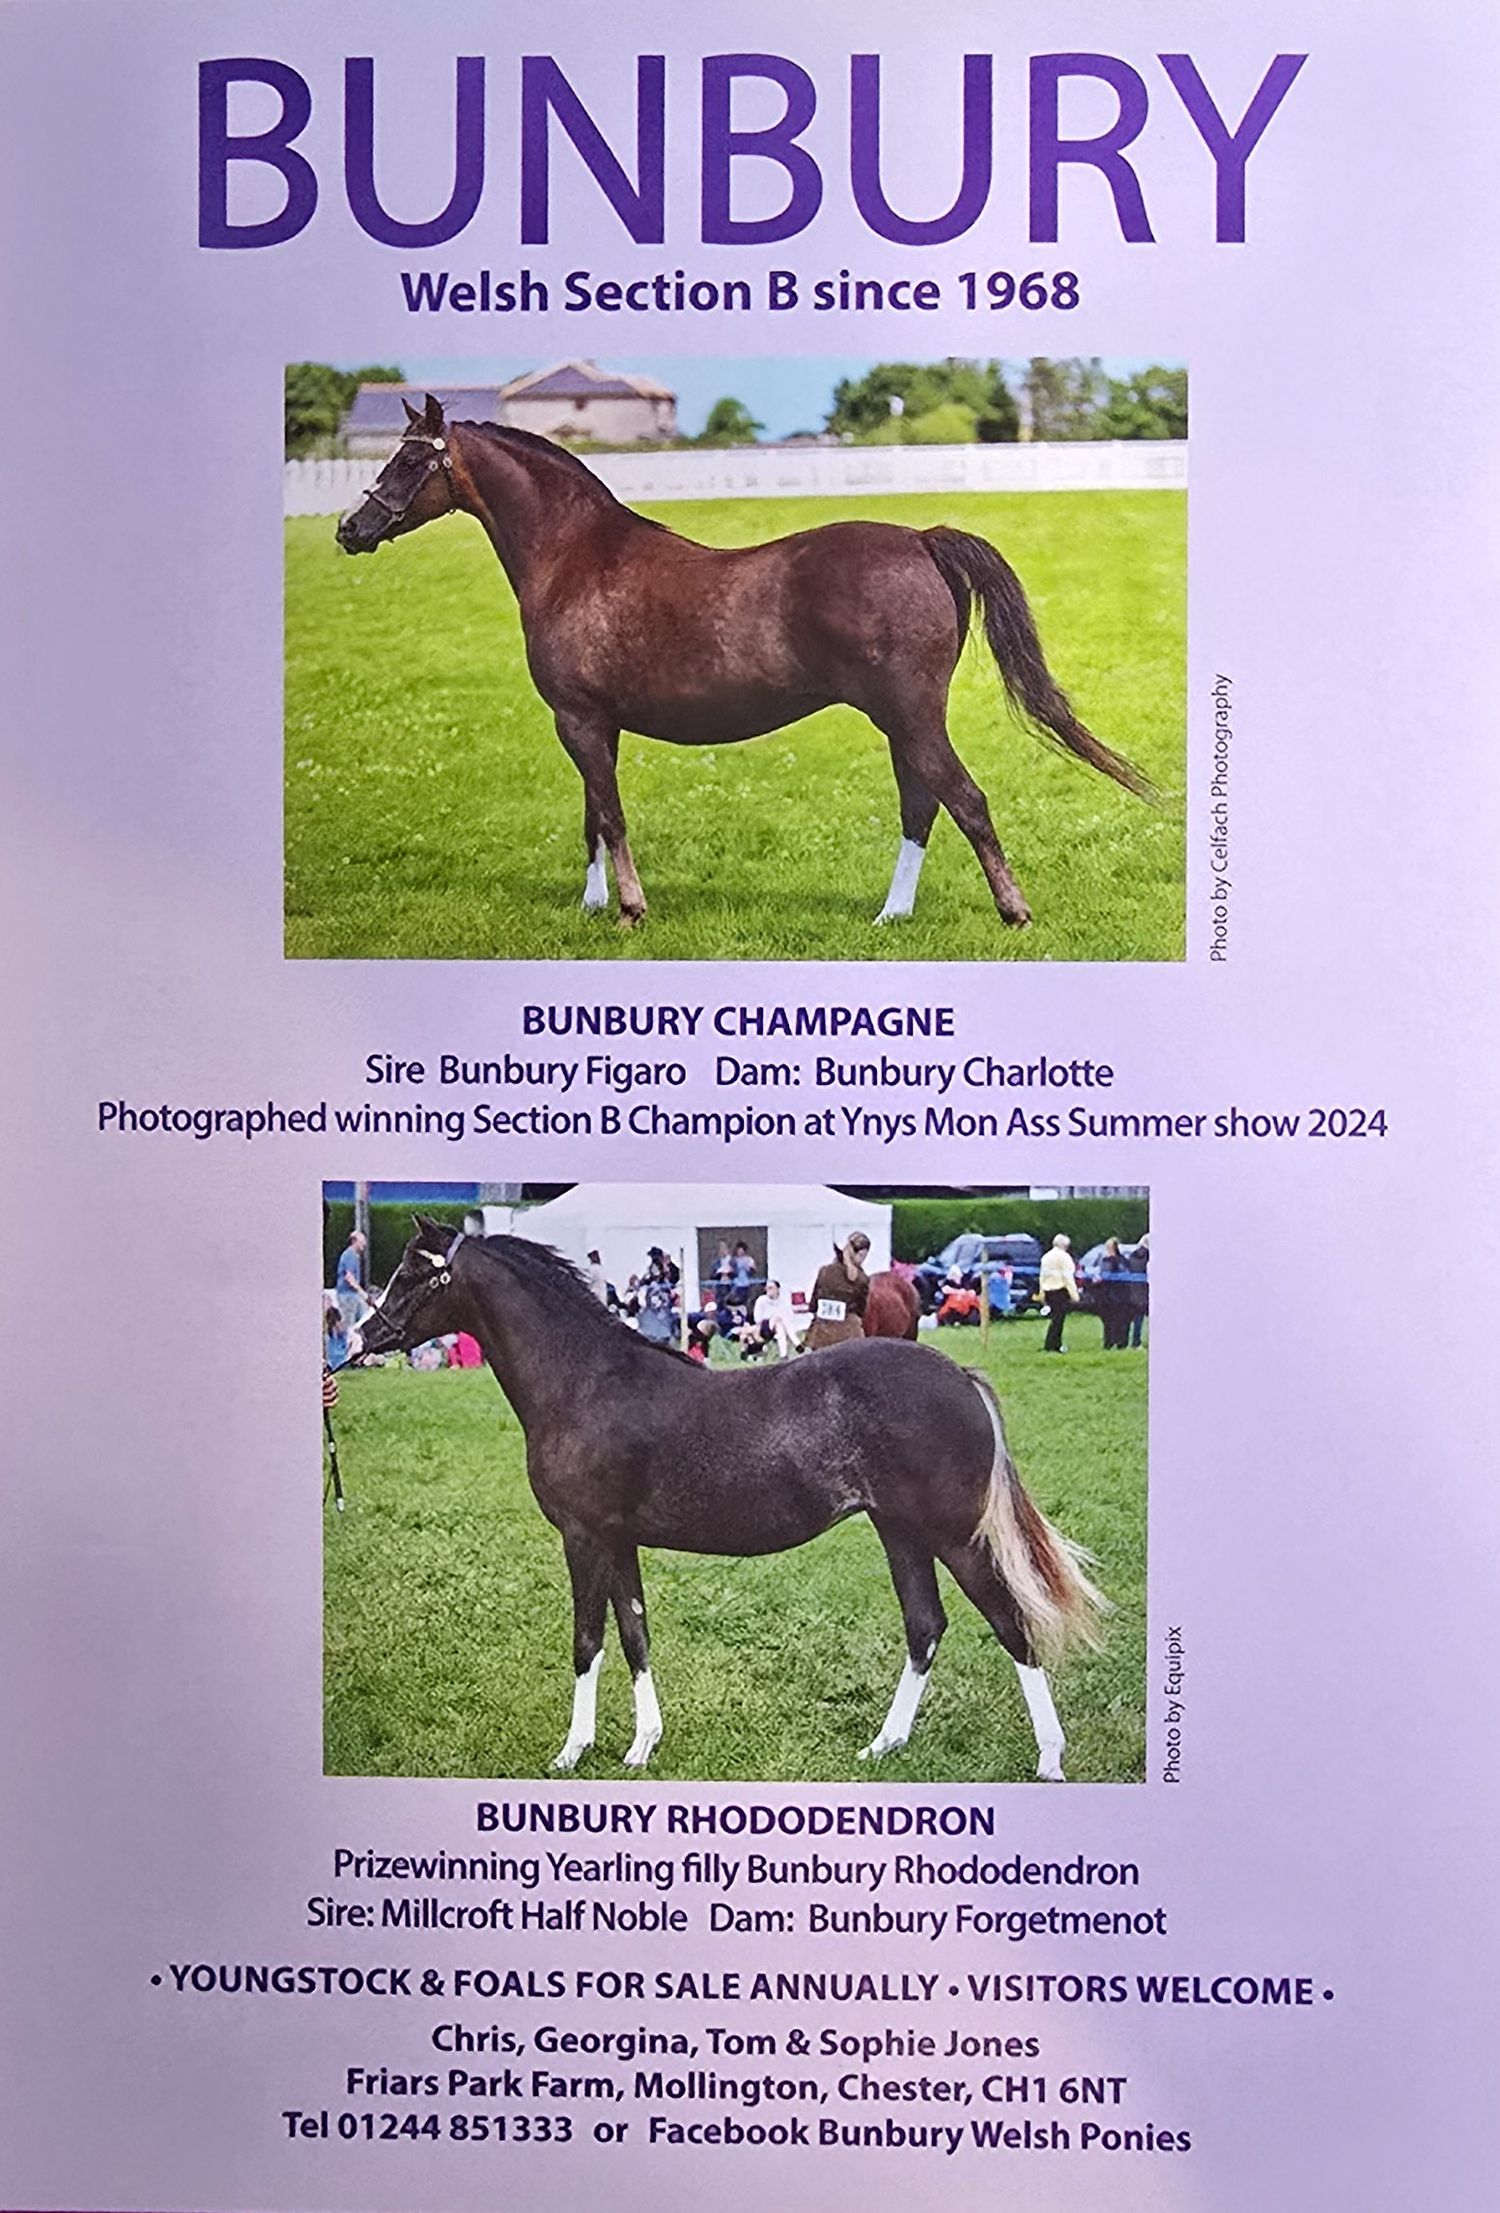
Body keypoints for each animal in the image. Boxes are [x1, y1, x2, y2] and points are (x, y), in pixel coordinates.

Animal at [336, 395, 1151, 930]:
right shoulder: (594, 723)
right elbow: (593, 815)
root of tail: (921, 540)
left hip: (911, 717)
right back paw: (892, 915)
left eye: (409, 459)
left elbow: (611, 815)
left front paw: (629, 909)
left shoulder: (579, 719)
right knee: (924, 806)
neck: (576, 559)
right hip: (905, 723)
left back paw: (1014, 913)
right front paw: (593, 903)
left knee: (966, 801)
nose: (351, 529)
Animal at [351, 1219, 1107, 1780]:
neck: (585, 1382)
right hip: (901, 1532)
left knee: (1011, 1623)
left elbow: (587, 1641)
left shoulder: (583, 1536)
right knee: (925, 1627)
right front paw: (642, 1744)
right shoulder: (619, 1539)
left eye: (414, 1270)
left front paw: (572, 1751)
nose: (361, 1336)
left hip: (953, 1535)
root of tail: (960, 1374)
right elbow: (635, 1634)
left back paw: (1049, 1758)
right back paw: (883, 1745)